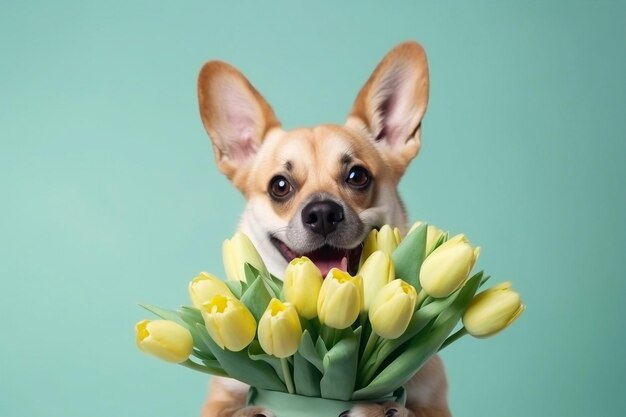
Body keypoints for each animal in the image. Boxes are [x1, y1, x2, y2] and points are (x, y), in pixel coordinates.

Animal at [195, 41, 448, 416]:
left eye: (357, 176)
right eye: (280, 186)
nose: (323, 213)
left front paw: (379, 408)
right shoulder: (222, 398)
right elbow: (236, 407)